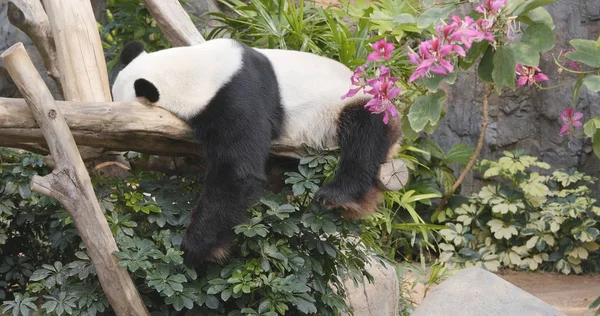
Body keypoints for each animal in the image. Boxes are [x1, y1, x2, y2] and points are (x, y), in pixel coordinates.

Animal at [112, 39, 404, 266]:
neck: (192, 70)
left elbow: (237, 172)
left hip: (353, 103)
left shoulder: (236, 96)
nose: (124, 152)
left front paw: (196, 249)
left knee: (364, 134)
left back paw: (339, 195)